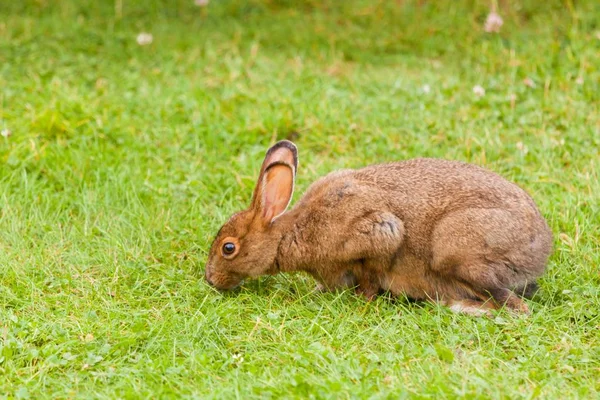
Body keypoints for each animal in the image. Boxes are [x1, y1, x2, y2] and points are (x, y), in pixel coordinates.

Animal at [206, 141, 552, 316]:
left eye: (228, 248)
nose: (211, 280)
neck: (290, 233)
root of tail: (540, 248)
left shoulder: (378, 233)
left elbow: (374, 269)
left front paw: (363, 299)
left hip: (456, 250)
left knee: (514, 307)